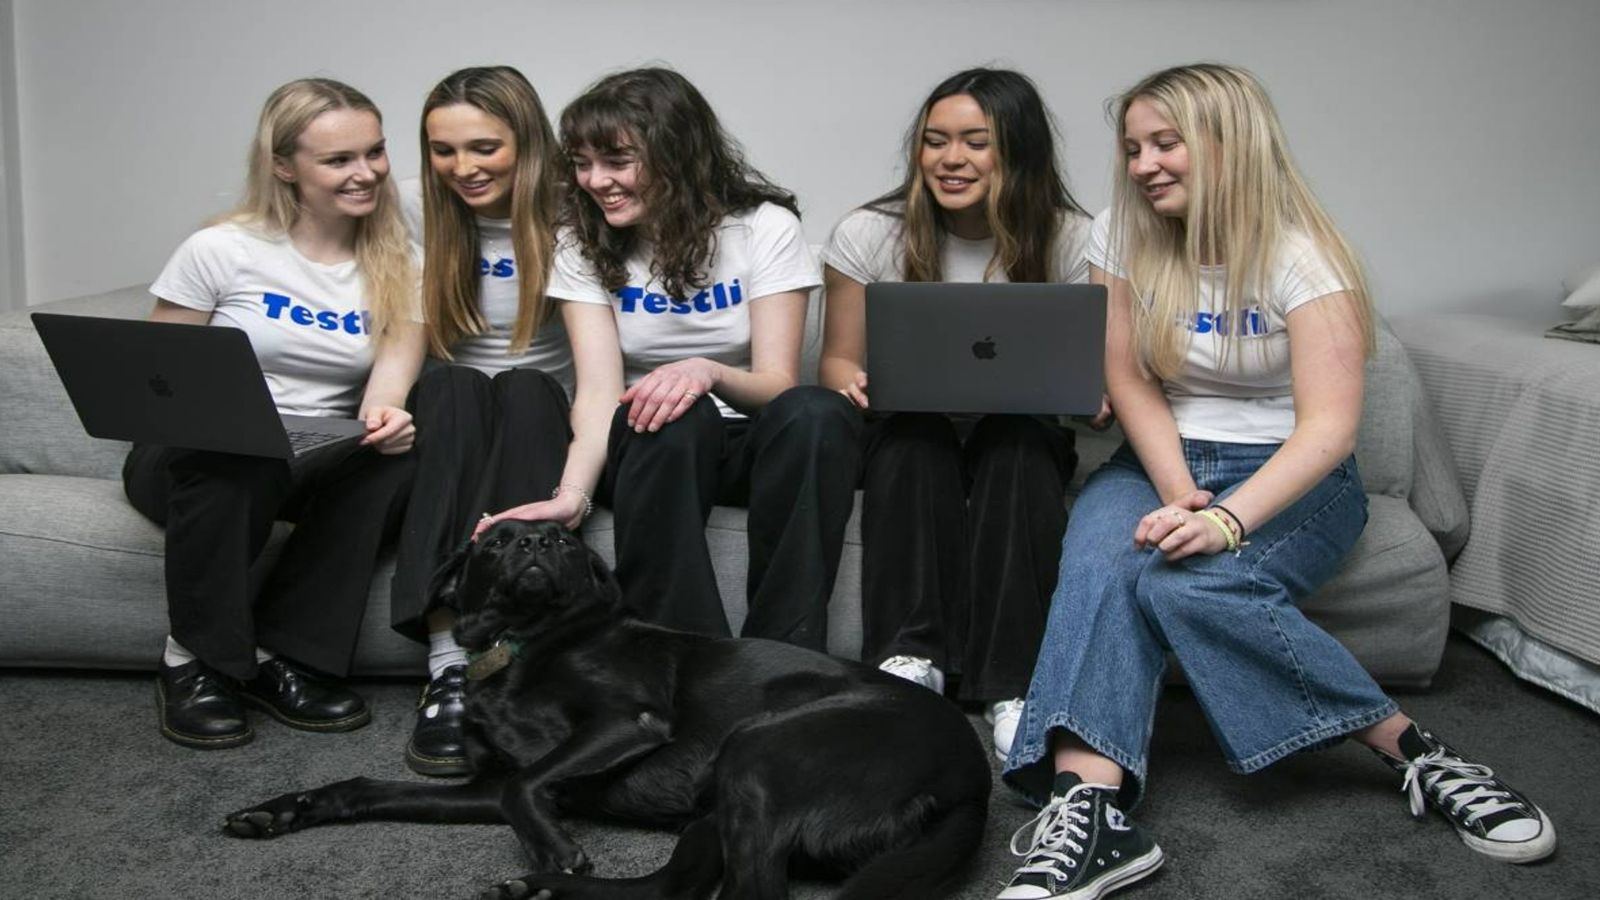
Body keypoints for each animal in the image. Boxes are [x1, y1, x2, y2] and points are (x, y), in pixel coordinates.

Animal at [224, 515, 985, 890]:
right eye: (495, 542)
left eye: (564, 540)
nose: (536, 540)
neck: (526, 642)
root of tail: (969, 773)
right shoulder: (484, 785)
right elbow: (372, 787)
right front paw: (281, 810)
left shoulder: (628, 721)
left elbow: (527, 786)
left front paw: (556, 851)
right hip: (716, 808)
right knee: (670, 890)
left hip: (757, 756)